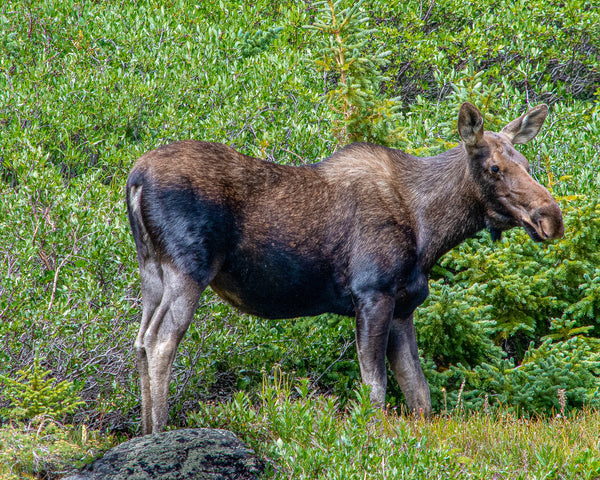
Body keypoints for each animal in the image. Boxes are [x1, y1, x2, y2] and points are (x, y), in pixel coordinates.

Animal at [126, 102, 564, 436]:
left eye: (526, 162)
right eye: (494, 168)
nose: (551, 218)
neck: (431, 230)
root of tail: (135, 179)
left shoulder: (404, 307)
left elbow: (419, 394)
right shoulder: (372, 293)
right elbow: (376, 388)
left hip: (151, 270)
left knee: (141, 339)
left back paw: (145, 431)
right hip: (189, 268)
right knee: (161, 340)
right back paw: (161, 430)